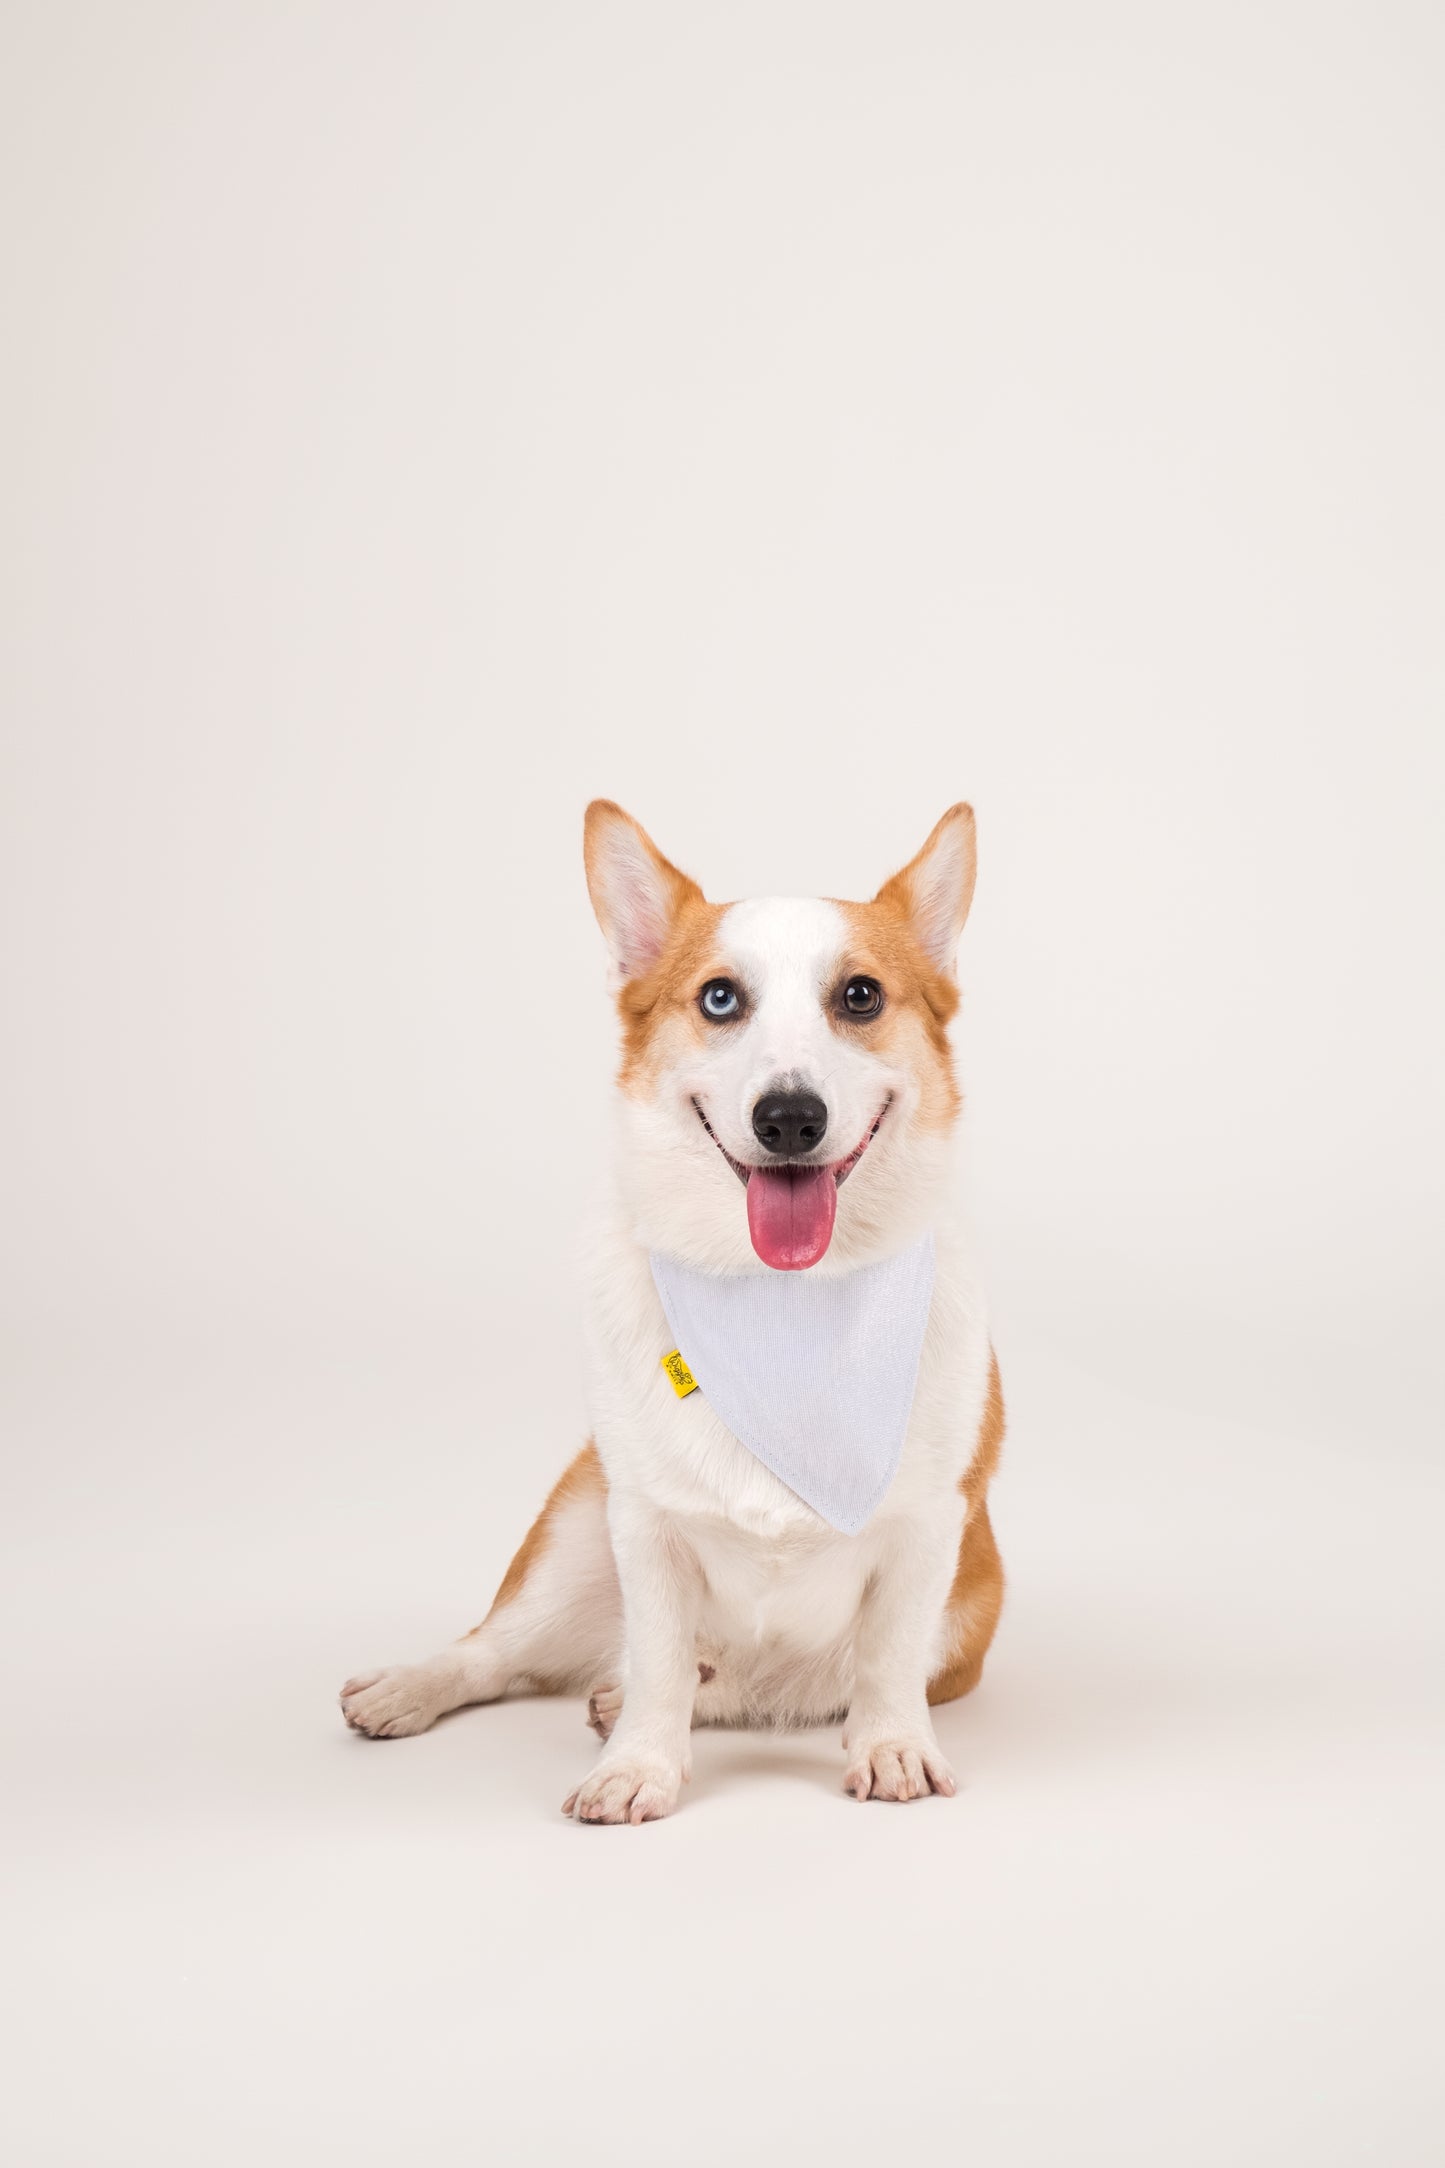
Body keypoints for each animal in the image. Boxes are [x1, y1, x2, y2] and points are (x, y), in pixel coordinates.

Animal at [340, 806, 1005, 1821]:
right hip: (575, 1538)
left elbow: (885, 1661)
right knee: (502, 1651)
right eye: (719, 999)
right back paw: (413, 1688)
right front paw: (637, 1767)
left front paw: (892, 1747)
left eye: (860, 996)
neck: (782, 1307)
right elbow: (655, 1661)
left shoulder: (929, 1532)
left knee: (775, 1685)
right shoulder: (644, 1530)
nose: (788, 1119)